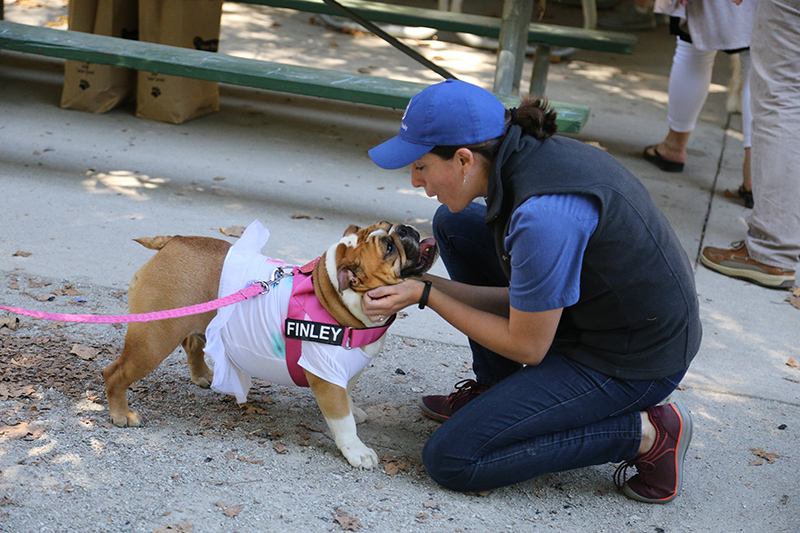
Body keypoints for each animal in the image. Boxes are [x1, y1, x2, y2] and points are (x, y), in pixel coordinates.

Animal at [101, 219, 438, 466]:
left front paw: (355, 411)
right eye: (389, 247)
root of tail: (172, 240)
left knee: (193, 345)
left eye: (391, 227)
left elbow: (348, 395)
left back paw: (204, 376)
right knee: (115, 373)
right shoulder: (326, 377)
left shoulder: (346, 371)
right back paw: (121, 414)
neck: (336, 297)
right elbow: (341, 420)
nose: (406, 228)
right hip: (153, 339)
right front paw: (356, 451)